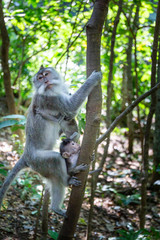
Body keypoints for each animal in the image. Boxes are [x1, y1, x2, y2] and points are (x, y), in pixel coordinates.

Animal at [0, 66, 102, 218]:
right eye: (40, 78)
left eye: (46, 74)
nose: (46, 81)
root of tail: (26, 156)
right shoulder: (49, 99)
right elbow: (70, 107)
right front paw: (93, 78)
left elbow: (69, 117)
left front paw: (74, 138)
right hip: (38, 161)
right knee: (55, 159)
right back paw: (67, 181)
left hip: (41, 168)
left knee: (55, 180)